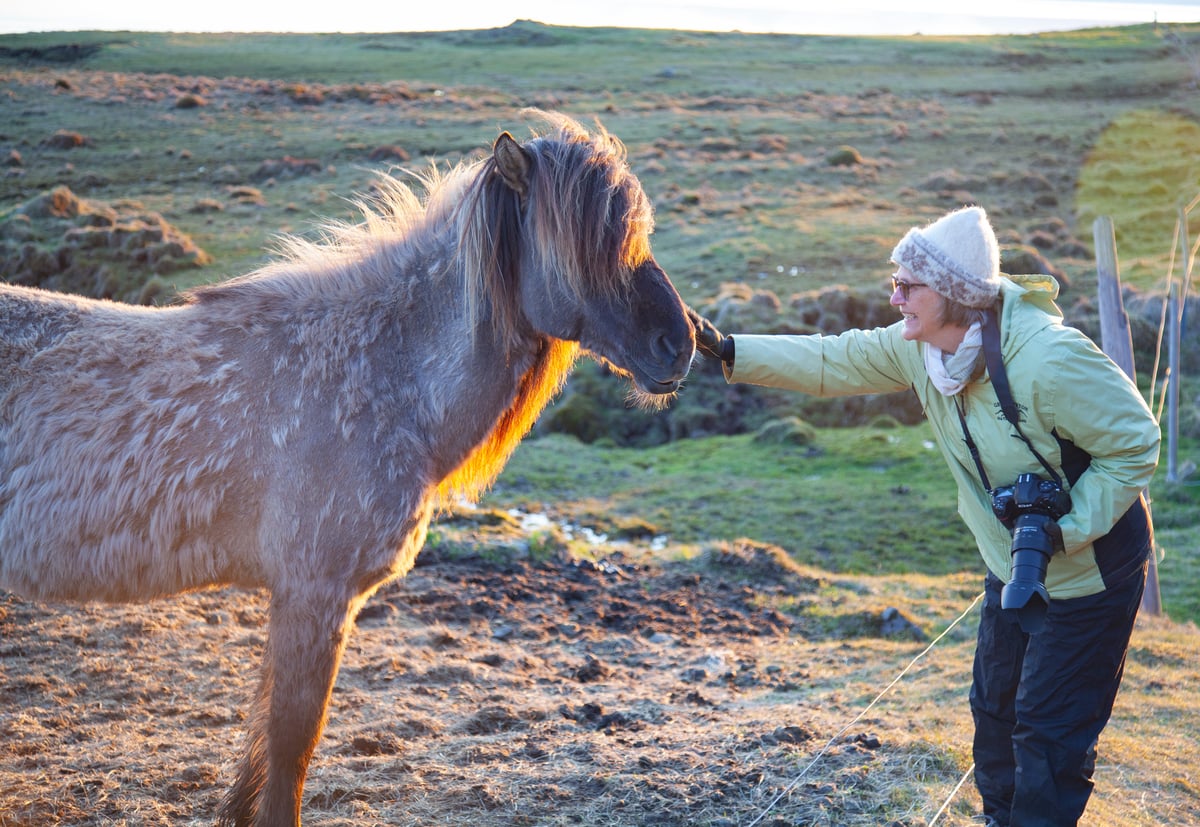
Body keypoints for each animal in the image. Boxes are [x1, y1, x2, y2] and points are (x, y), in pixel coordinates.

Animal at [0, 111, 696, 825]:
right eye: (590, 247)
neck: (378, 375)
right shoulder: (315, 594)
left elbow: (262, 745)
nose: (681, 343)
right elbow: (290, 744)